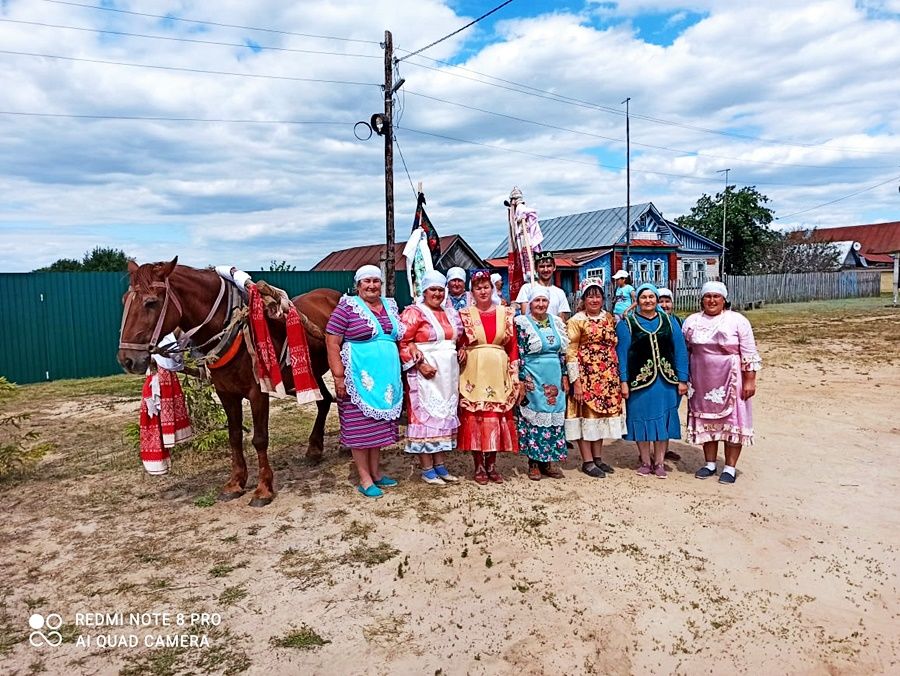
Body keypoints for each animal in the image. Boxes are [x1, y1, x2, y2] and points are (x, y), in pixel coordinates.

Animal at [118, 258, 340, 508]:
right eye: (125, 301)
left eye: (150, 302)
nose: (126, 359)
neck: (232, 329)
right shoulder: (226, 392)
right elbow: (234, 436)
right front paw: (235, 483)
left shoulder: (258, 391)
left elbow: (260, 439)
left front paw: (263, 489)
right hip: (313, 373)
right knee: (325, 401)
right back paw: (314, 449)